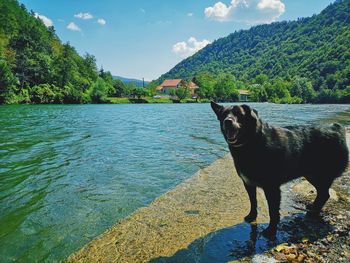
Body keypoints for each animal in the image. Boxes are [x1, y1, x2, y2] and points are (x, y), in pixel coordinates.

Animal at [209, 102, 348, 239]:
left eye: (239, 114)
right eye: (223, 115)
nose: (227, 121)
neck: (253, 141)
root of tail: (336, 128)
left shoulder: (272, 188)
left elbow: (273, 211)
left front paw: (271, 230)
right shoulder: (248, 183)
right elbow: (253, 202)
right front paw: (252, 216)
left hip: (319, 175)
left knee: (324, 194)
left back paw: (313, 212)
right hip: (313, 175)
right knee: (323, 194)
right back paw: (313, 209)